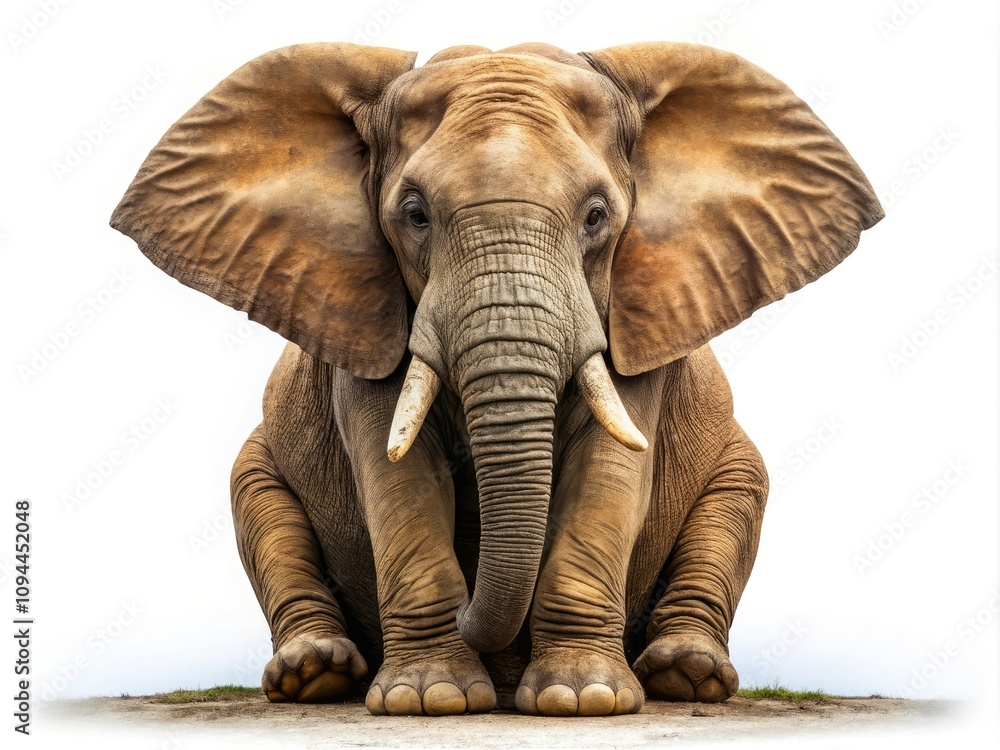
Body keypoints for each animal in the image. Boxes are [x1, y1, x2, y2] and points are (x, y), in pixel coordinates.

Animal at [111, 41, 882, 717]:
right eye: (414, 214)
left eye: (597, 216)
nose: (470, 593)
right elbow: (396, 472)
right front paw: (429, 700)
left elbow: (609, 472)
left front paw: (583, 698)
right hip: (260, 468)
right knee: (261, 505)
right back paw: (314, 672)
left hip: (734, 469)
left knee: (734, 503)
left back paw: (685, 674)